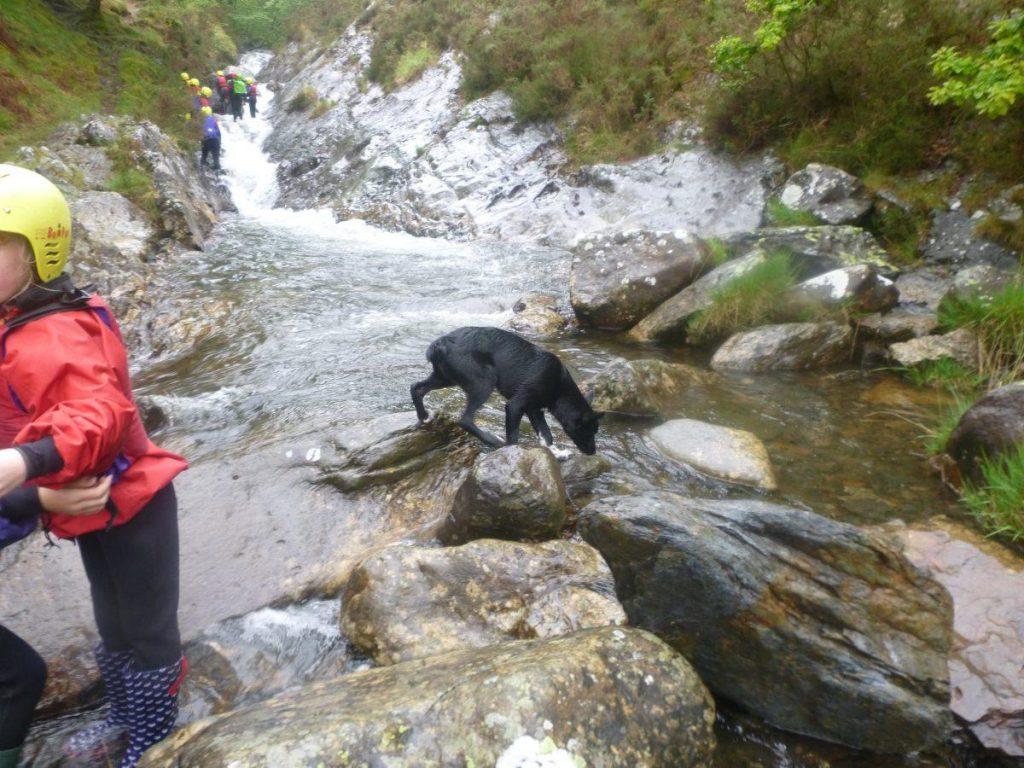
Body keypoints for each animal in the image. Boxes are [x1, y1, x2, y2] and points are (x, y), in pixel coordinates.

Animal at [411, 327, 603, 454]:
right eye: (588, 431)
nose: (593, 452)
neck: (559, 388)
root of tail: (439, 343)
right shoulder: (515, 406)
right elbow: (513, 437)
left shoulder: (534, 409)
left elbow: (547, 435)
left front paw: (556, 453)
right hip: (483, 382)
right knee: (465, 419)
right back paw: (492, 440)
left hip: (445, 377)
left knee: (416, 388)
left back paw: (423, 416)